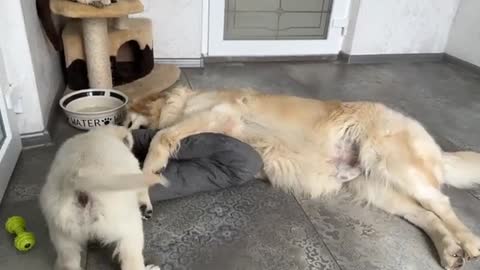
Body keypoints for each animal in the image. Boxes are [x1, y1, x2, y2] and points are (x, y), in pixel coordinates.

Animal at [39, 125, 167, 268]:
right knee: (131, 261)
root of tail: (73, 179)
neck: (102, 133)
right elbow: (143, 191)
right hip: (128, 227)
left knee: (68, 261)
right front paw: (146, 207)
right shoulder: (136, 173)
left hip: (63, 236)